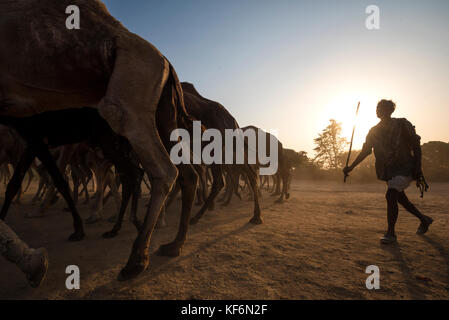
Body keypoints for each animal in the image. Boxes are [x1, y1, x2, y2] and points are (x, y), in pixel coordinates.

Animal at [0, 0, 196, 280]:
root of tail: (167, 63)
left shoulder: (33, 135)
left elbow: (30, 180)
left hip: (128, 95)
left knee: (161, 170)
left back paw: (136, 259)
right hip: (162, 114)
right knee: (185, 173)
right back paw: (172, 244)